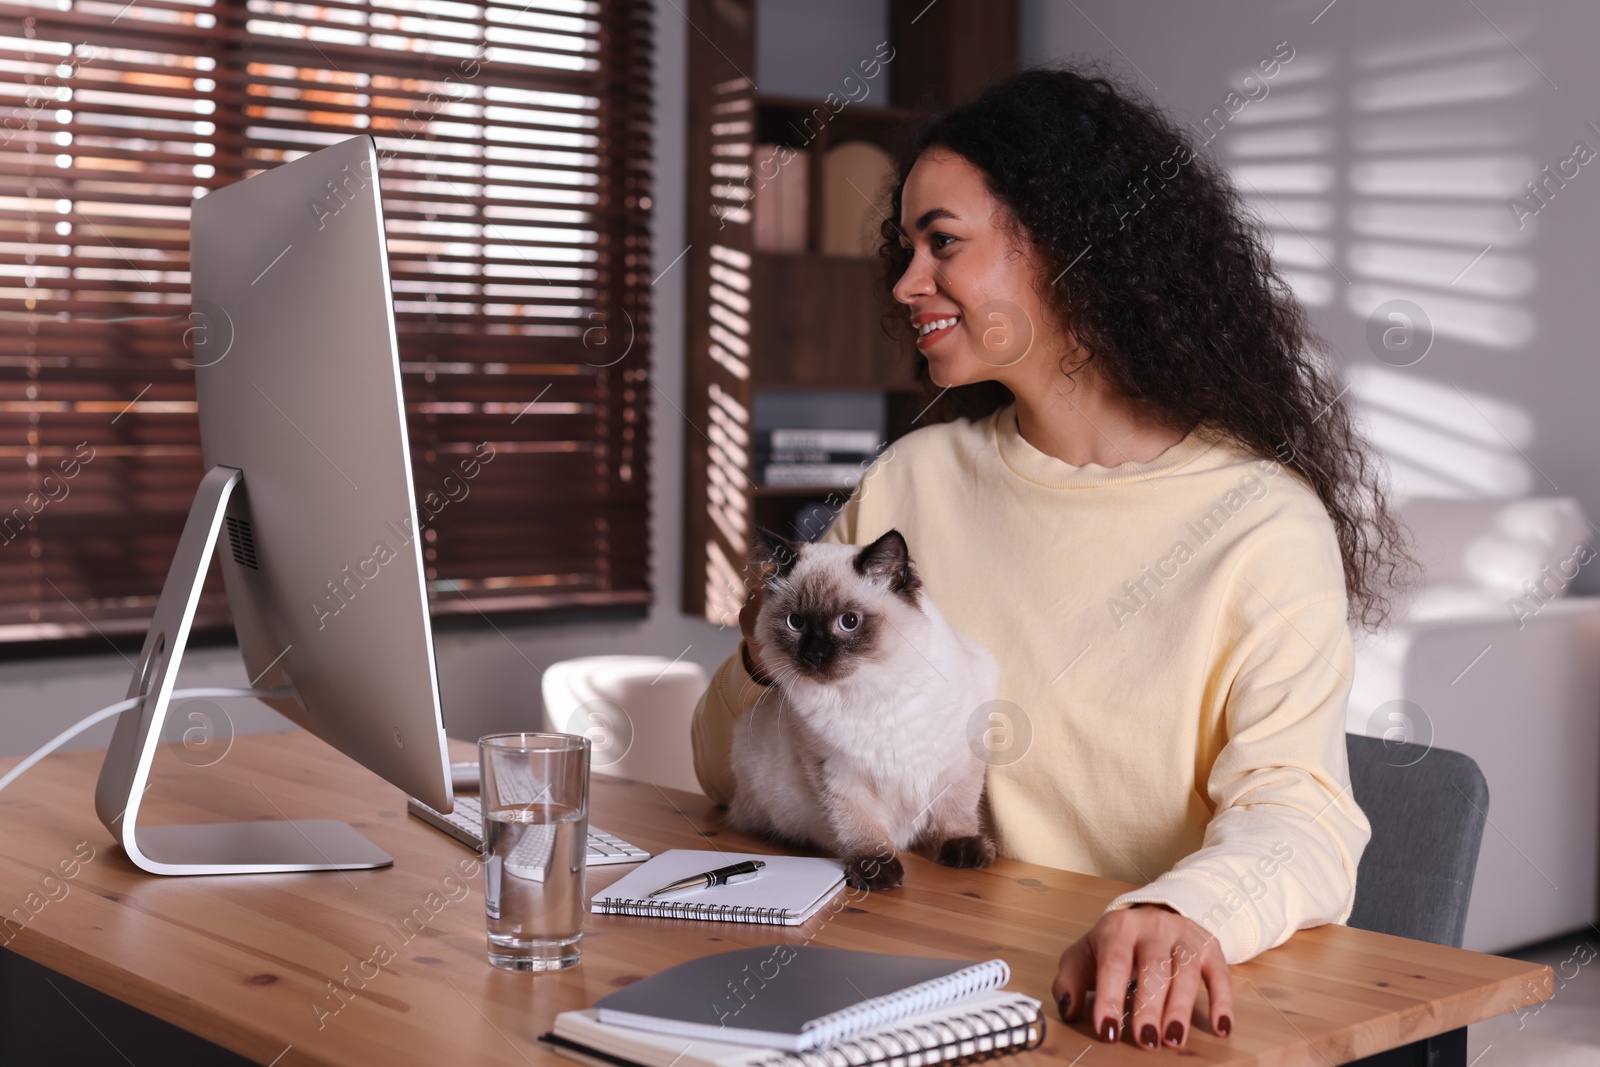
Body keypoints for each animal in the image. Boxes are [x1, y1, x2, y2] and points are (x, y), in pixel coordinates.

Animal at [729, 527, 998, 895]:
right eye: (795, 623)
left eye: (849, 622)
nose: (813, 655)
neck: (868, 689)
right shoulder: (836, 772)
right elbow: (858, 825)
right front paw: (875, 869)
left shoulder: (960, 757)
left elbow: (956, 808)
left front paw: (963, 849)